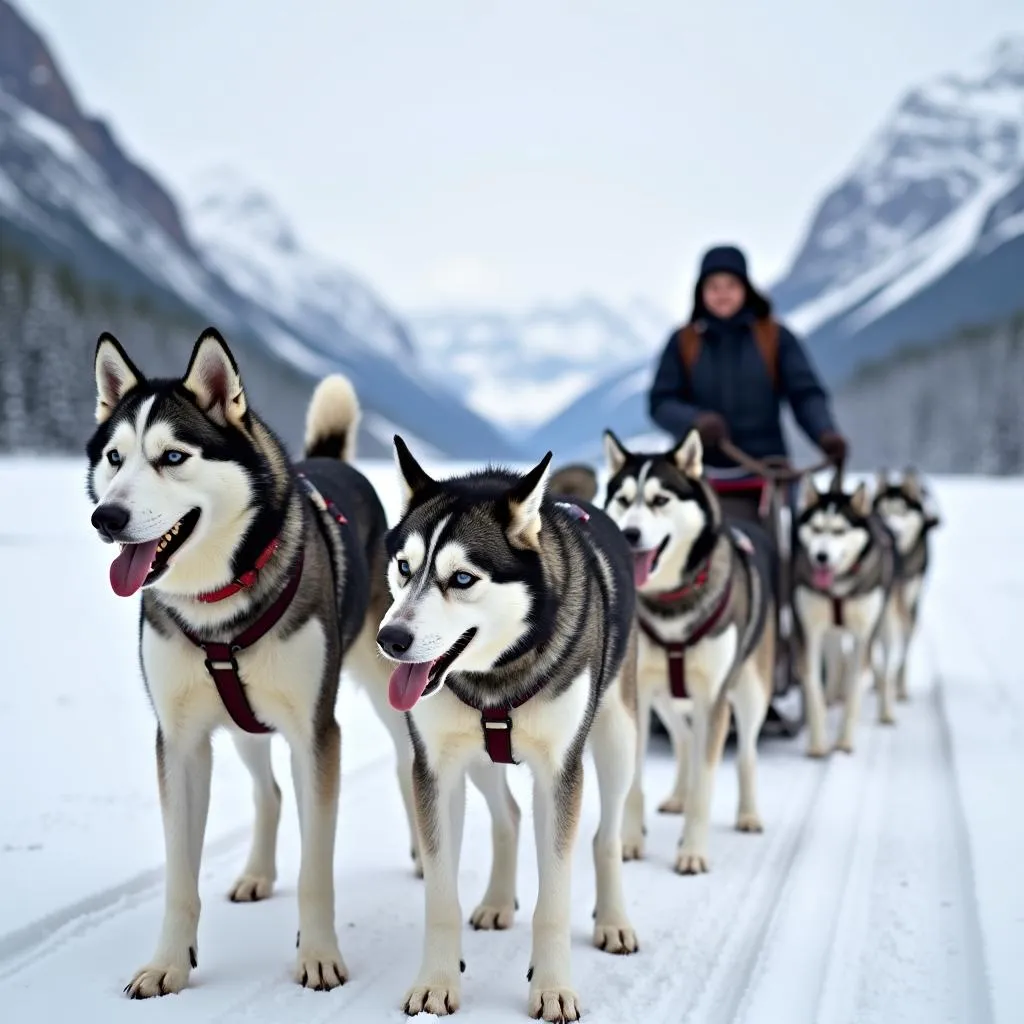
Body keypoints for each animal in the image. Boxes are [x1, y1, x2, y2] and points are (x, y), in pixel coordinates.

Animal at [84, 329, 407, 999]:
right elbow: (180, 876)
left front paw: (319, 955)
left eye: (172, 457)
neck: (217, 605)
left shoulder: (316, 733)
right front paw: (168, 963)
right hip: (242, 725)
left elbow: (316, 868)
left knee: (404, 767)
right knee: (270, 791)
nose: (107, 518)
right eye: (115, 458)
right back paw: (257, 873)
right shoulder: (181, 740)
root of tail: (332, 461)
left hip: (382, 682)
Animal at [376, 438, 638, 1015]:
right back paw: (497, 901)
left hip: (616, 739)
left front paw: (554, 988)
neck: (495, 678)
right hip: (478, 760)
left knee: (607, 835)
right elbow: (440, 895)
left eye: (462, 579)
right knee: (509, 816)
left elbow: (554, 900)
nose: (390, 638)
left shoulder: (560, 772)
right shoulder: (436, 768)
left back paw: (614, 920)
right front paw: (436, 981)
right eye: (404, 567)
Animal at [598, 430, 774, 872]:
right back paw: (678, 794)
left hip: (750, 691)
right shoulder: (639, 693)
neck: (670, 602)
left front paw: (692, 851)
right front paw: (629, 842)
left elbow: (706, 784)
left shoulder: (714, 697)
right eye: (623, 499)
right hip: (664, 697)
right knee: (683, 739)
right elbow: (636, 780)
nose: (630, 534)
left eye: (661, 500)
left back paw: (748, 813)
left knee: (744, 753)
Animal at [790, 471, 897, 753]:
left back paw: (887, 710)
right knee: (836, 657)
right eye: (816, 529)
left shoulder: (864, 637)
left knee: (885, 667)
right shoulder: (809, 632)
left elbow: (855, 688)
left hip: (884, 627)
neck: (838, 586)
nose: (821, 557)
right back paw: (831, 697)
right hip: (830, 632)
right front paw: (818, 744)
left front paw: (844, 742)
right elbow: (813, 685)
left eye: (840, 531)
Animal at [868, 471, 937, 704]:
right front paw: (878, 681)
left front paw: (899, 686)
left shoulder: (907, 603)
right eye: (884, 512)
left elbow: (904, 646)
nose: (893, 533)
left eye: (902, 512)